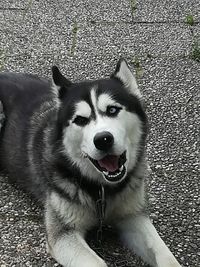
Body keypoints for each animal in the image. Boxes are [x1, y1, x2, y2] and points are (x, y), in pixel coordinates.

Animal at [0, 60, 181, 267]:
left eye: (112, 109)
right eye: (80, 120)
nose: (103, 139)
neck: (103, 189)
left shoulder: (133, 215)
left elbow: (166, 256)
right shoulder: (63, 234)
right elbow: (97, 262)